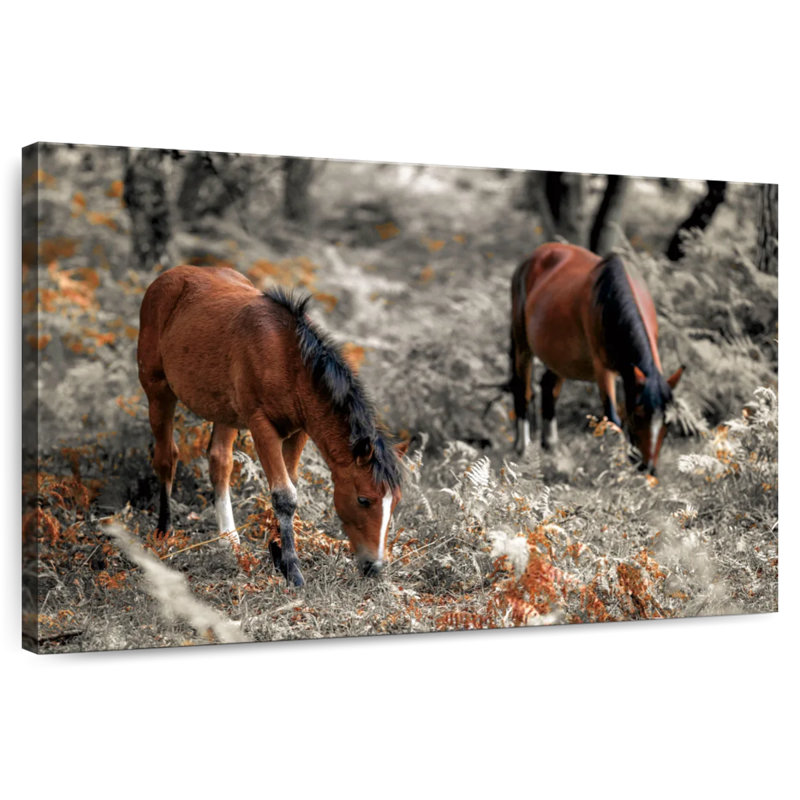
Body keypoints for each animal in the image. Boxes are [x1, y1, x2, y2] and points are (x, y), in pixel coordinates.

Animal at [137, 265, 406, 587]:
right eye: (364, 499)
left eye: (395, 502)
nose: (374, 566)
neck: (287, 360)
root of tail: (169, 276)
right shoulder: (262, 426)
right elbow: (284, 495)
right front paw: (292, 569)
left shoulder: (299, 430)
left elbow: (289, 484)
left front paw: (277, 552)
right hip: (158, 390)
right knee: (166, 458)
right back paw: (164, 533)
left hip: (224, 411)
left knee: (220, 462)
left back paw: (229, 540)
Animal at [508, 243, 683, 475]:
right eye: (638, 415)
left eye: (668, 421)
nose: (648, 468)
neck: (611, 298)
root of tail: (536, 255)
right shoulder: (604, 370)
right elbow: (613, 417)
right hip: (523, 346)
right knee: (523, 391)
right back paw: (523, 448)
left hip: (559, 356)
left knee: (549, 386)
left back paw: (551, 447)